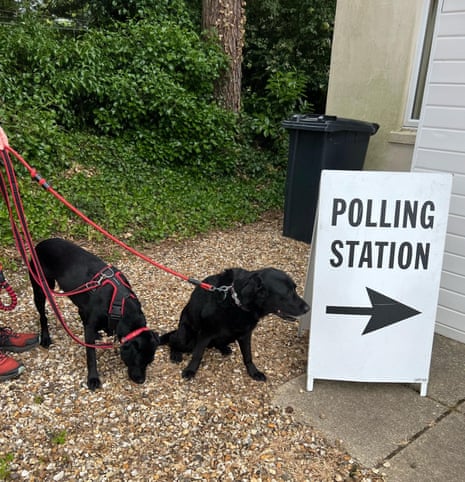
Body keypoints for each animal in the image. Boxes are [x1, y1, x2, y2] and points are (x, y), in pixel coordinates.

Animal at [29, 239, 160, 390]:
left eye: (150, 361)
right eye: (137, 360)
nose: (141, 380)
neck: (120, 305)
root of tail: (40, 244)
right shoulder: (91, 326)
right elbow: (91, 356)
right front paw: (93, 379)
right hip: (40, 288)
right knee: (42, 316)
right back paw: (45, 338)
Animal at [160, 268, 308, 380]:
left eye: (295, 288)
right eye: (288, 292)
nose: (308, 308)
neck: (235, 300)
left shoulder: (245, 334)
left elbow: (248, 356)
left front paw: (254, 372)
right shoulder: (205, 333)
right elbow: (197, 355)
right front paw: (190, 370)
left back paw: (224, 348)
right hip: (185, 337)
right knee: (173, 340)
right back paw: (175, 354)